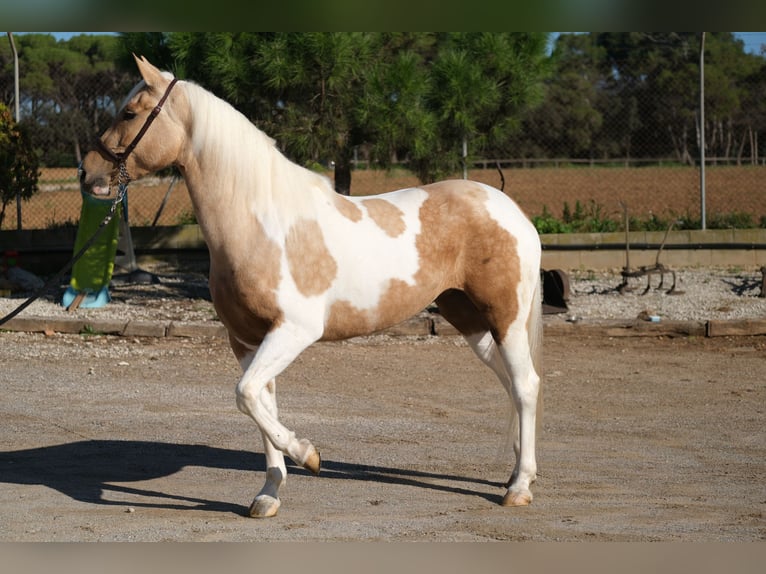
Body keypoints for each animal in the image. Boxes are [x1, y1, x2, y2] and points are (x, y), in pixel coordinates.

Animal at [79, 56, 544, 520]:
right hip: (468, 318)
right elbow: (260, 403)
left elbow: (245, 395)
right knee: (510, 382)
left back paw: (519, 486)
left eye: (130, 112)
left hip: (506, 317)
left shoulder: (294, 331)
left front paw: (308, 455)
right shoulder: (246, 340)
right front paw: (269, 493)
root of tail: (510, 208)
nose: (89, 173)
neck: (259, 224)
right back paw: (518, 472)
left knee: (525, 385)